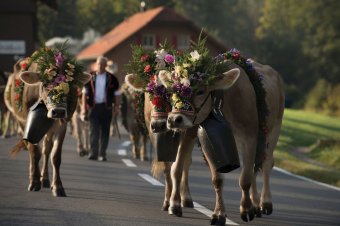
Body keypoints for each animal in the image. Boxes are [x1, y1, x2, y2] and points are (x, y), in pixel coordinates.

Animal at [5, 44, 91, 196]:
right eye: (45, 84)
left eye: (70, 86)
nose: (58, 111)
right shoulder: (29, 126)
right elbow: (35, 152)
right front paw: (34, 182)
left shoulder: (62, 126)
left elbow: (55, 156)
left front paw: (57, 186)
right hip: (21, 122)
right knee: (33, 150)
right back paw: (33, 176)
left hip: (49, 131)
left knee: (46, 150)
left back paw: (44, 179)